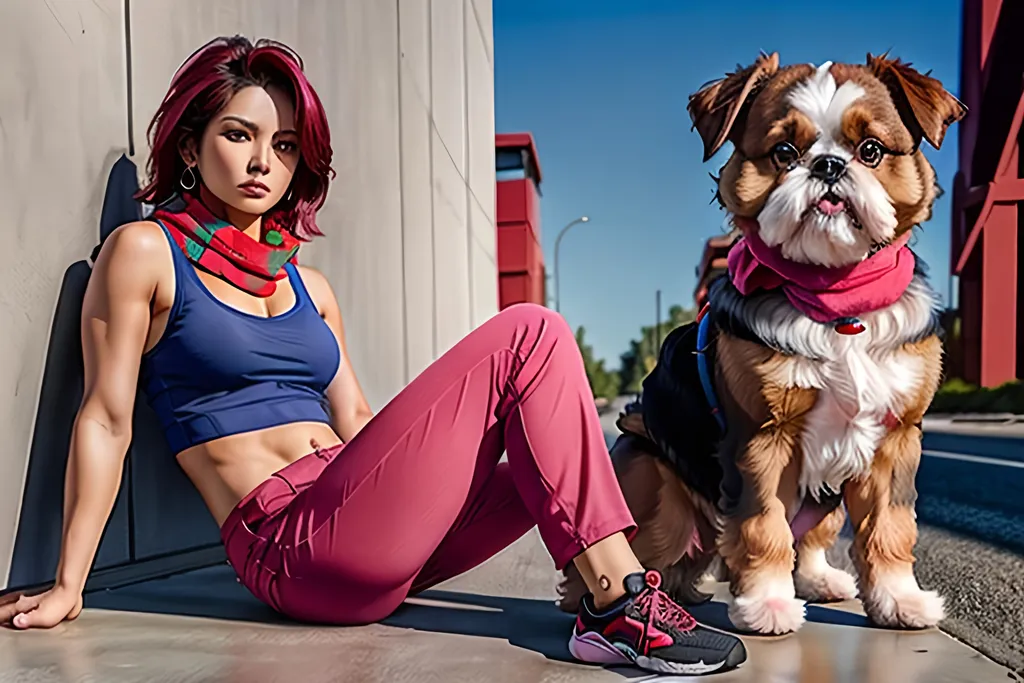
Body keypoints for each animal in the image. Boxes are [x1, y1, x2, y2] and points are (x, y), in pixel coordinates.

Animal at [561, 53, 966, 634]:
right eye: (784, 153)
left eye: (870, 150)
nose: (828, 167)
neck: (835, 300)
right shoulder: (761, 439)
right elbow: (762, 526)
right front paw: (768, 604)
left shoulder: (894, 440)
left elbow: (889, 527)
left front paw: (897, 600)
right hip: (657, 494)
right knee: (632, 558)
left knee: (810, 539)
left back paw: (815, 579)